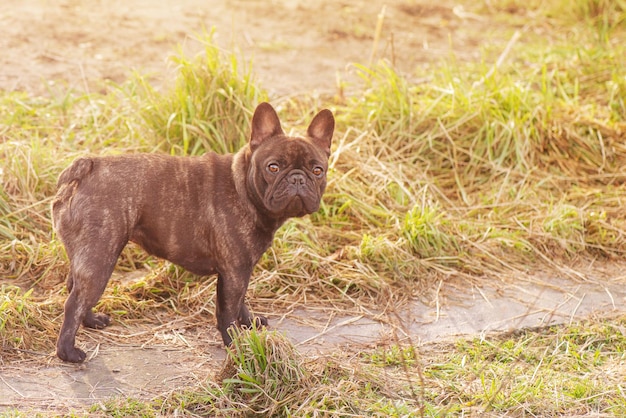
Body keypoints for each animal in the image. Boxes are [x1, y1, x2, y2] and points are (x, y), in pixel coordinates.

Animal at [51, 102, 334, 362]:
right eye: (273, 167)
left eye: (318, 170)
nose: (297, 178)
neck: (242, 186)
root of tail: (88, 165)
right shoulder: (234, 271)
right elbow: (228, 309)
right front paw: (236, 344)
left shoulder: (240, 272)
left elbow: (241, 301)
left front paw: (249, 323)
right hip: (101, 258)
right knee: (75, 301)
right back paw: (68, 353)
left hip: (87, 254)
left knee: (75, 288)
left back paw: (91, 321)